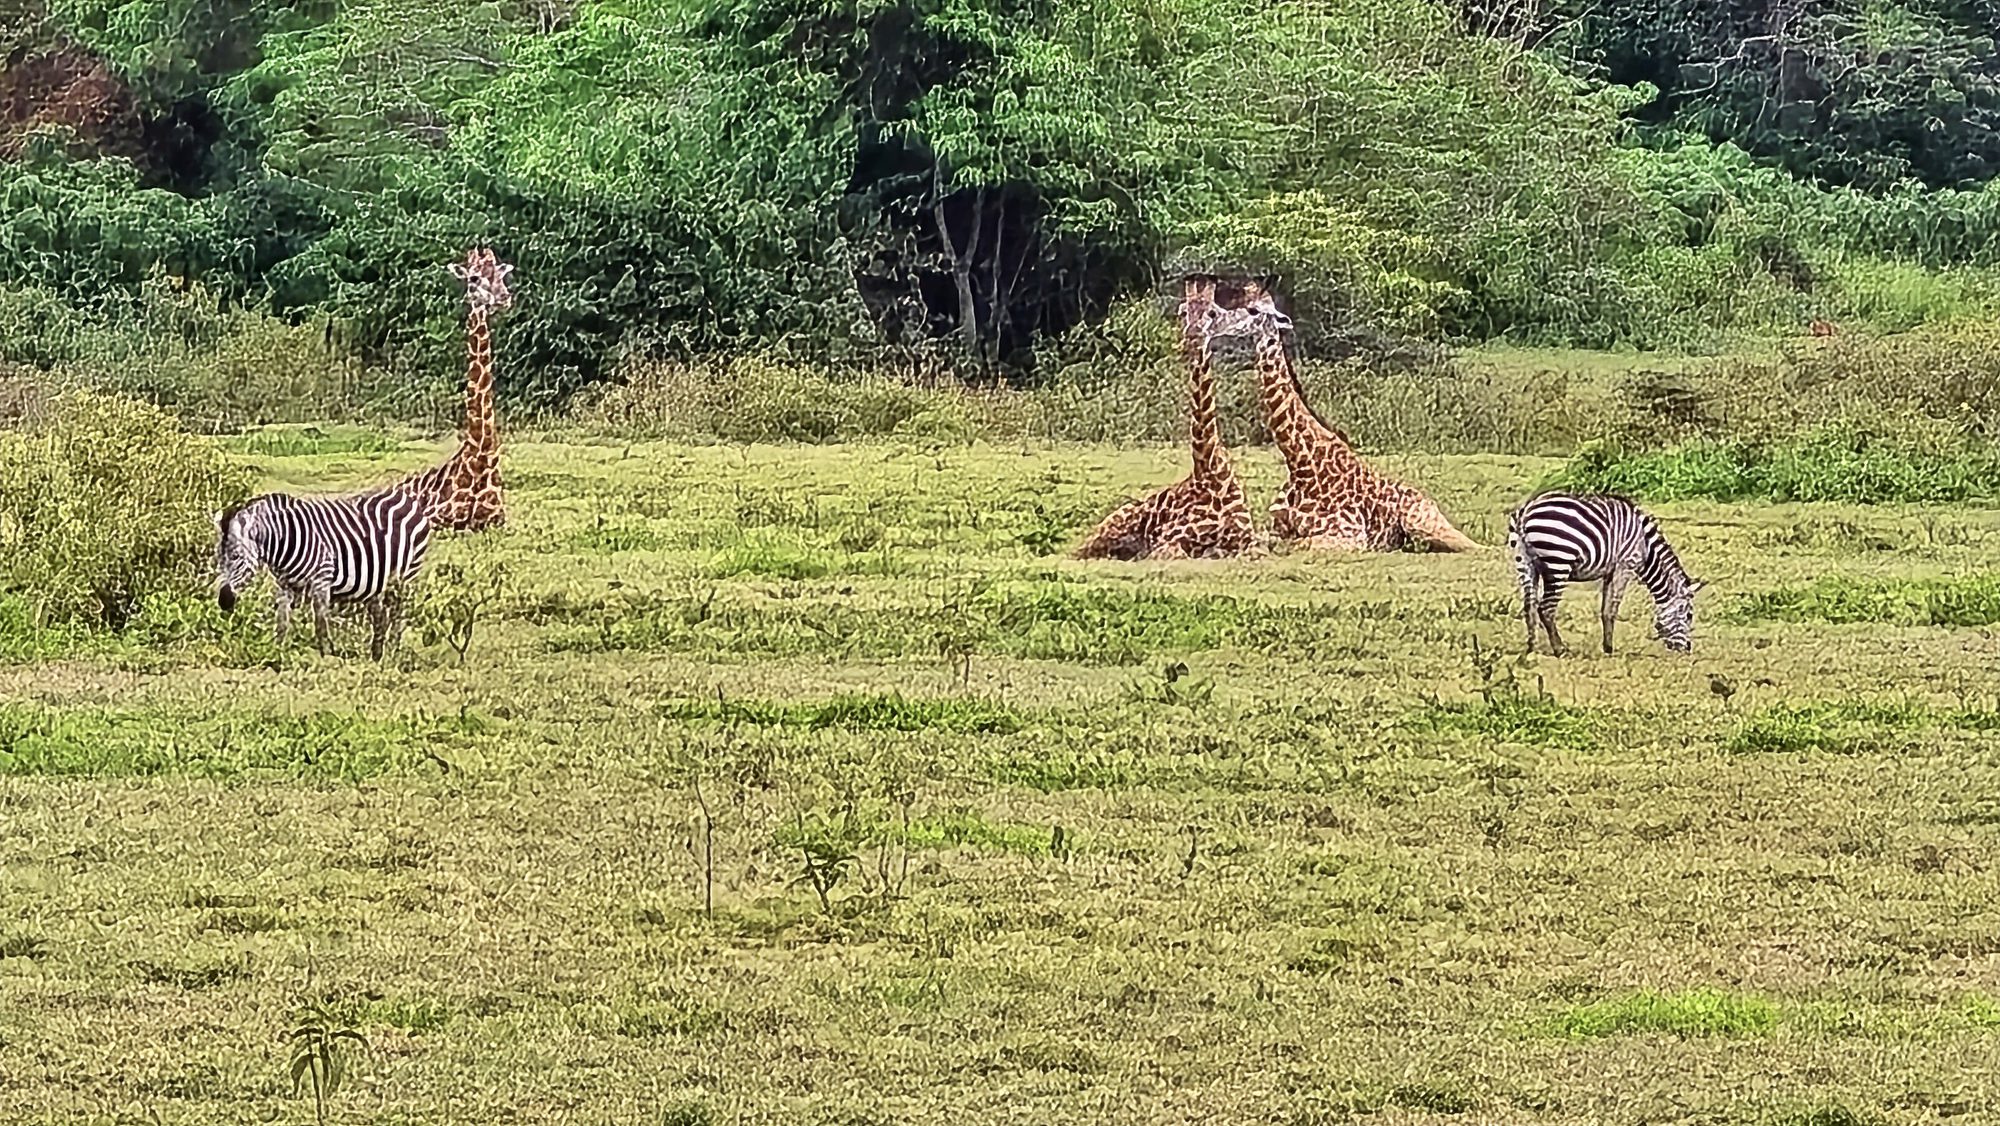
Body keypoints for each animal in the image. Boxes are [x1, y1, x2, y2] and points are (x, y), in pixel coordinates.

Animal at [214, 489, 433, 660]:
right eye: (219, 557)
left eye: (235, 556)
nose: (223, 601)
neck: (284, 540)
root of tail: (407, 498)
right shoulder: (284, 584)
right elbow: (282, 622)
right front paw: (276, 652)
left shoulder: (321, 579)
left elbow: (320, 621)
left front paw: (327, 656)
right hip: (376, 579)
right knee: (380, 616)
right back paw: (376, 655)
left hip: (406, 576)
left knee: (398, 615)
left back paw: (392, 653)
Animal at [1508, 491, 1705, 656]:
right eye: (1689, 615)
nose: (1687, 650)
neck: (1646, 547)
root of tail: (1526, 511)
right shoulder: (1625, 566)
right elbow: (1613, 609)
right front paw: (1610, 649)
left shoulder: (1609, 572)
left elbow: (1605, 609)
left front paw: (1606, 647)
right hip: (1559, 562)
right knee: (1546, 609)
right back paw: (1560, 650)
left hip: (1524, 562)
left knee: (1529, 605)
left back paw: (1531, 650)